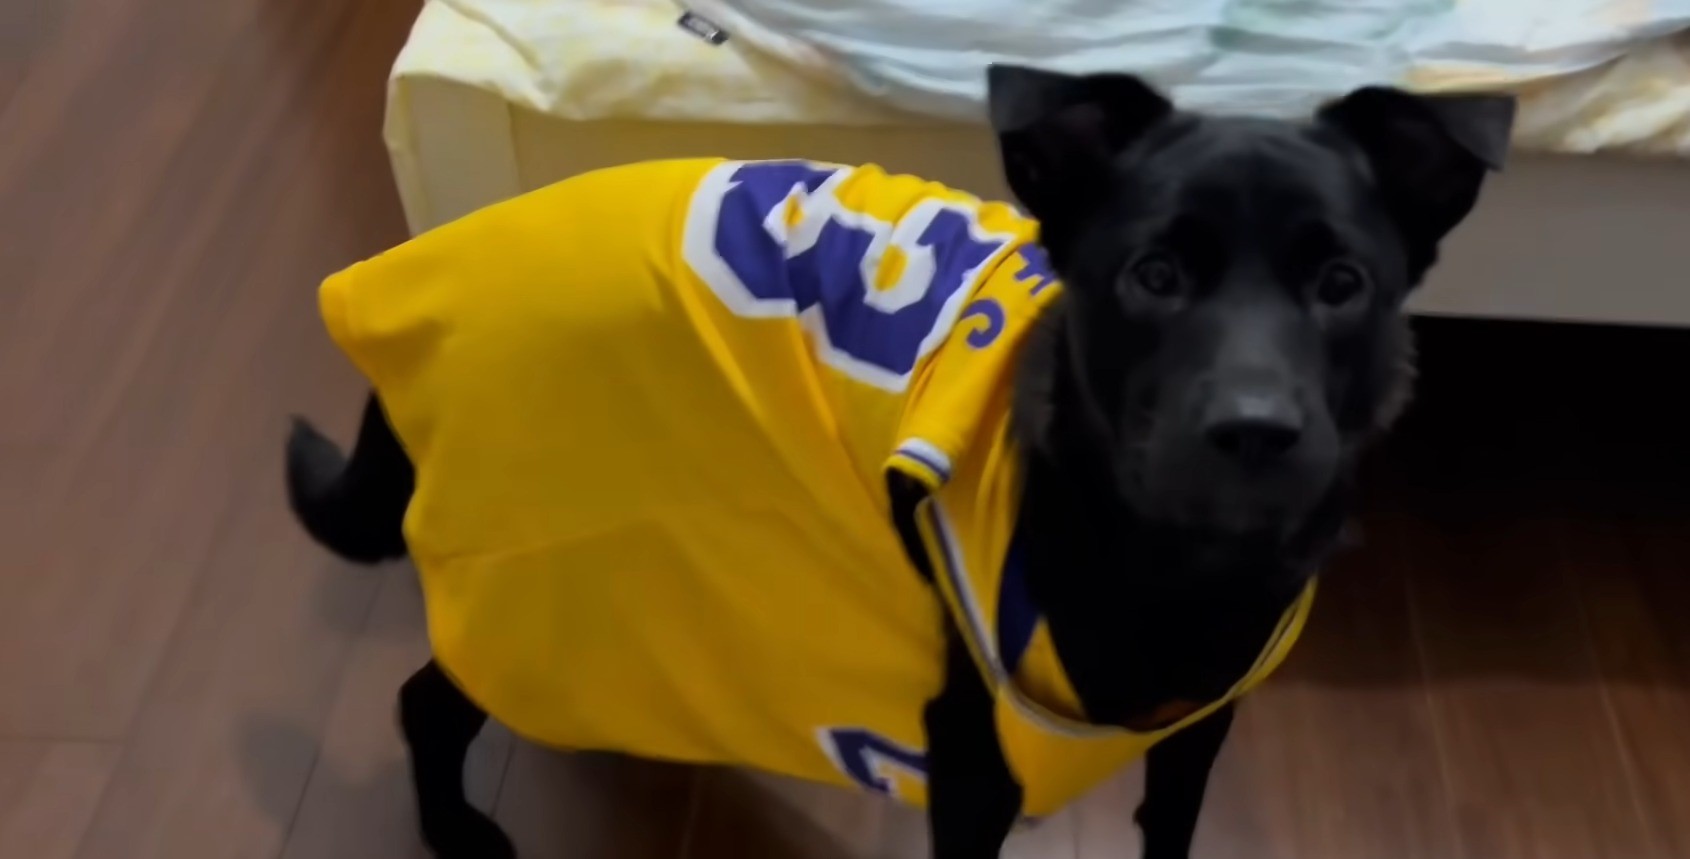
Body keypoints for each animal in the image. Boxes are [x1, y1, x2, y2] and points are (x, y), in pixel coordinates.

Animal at [283, 68, 1514, 859]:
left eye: (1342, 284)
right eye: (1153, 275)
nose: (1255, 431)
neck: (1169, 570)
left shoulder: (1198, 729)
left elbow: (1168, 827)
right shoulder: (969, 768)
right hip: (532, 563)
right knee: (426, 699)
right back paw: (455, 828)